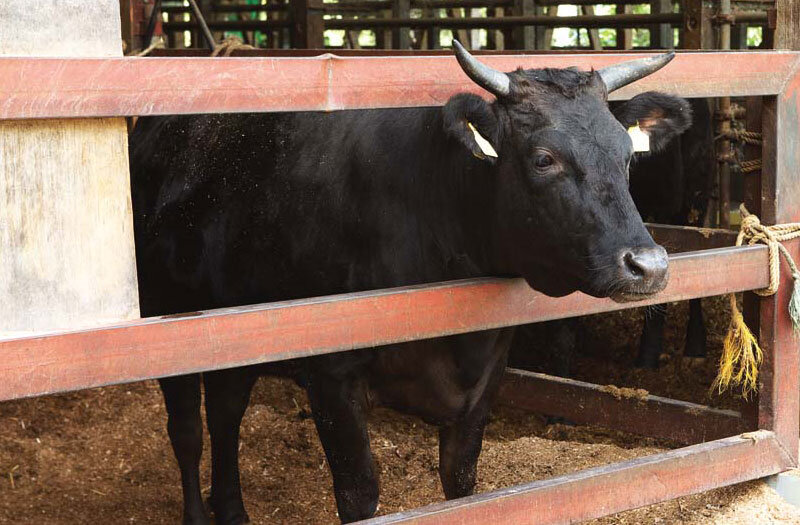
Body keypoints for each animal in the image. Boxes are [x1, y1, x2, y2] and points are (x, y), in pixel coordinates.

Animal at [128, 46, 692, 524]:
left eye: (627, 155)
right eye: (543, 159)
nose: (648, 264)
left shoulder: (486, 374)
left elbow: (461, 482)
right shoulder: (330, 374)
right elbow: (360, 493)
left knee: (225, 416)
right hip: (168, 319)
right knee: (188, 432)